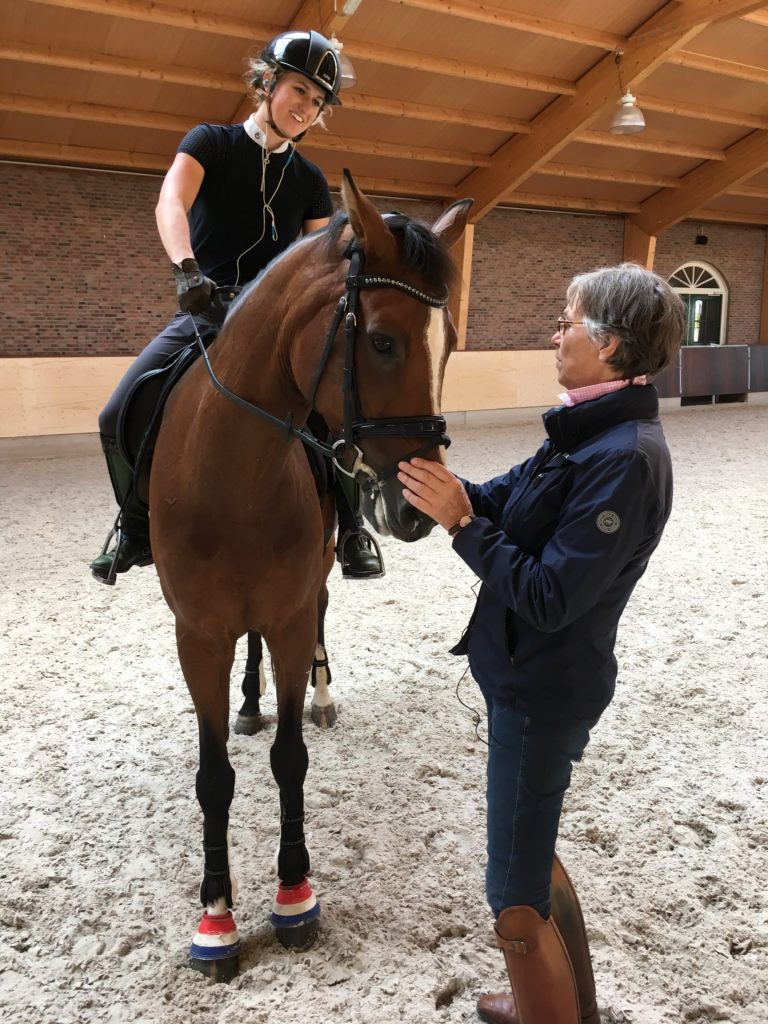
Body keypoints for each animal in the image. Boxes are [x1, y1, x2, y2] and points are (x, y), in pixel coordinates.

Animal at [149, 170, 472, 980]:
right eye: (383, 341)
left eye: (449, 344)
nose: (416, 508)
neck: (234, 470)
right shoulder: (198, 635)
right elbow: (214, 777)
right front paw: (217, 918)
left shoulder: (291, 615)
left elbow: (289, 757)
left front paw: (293, 895)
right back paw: (248, 701)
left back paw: (317, 696)